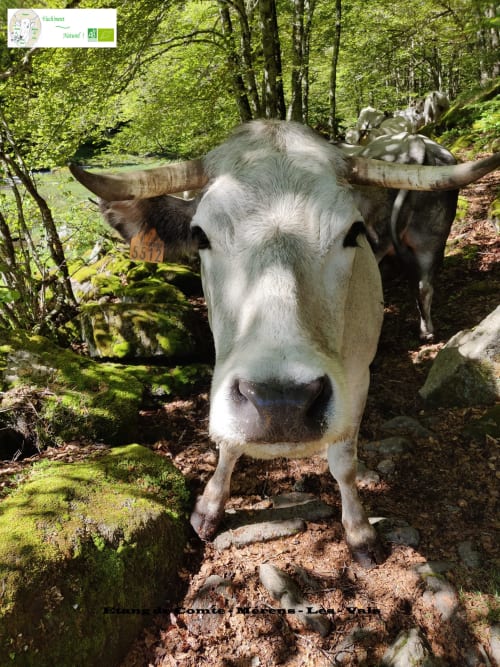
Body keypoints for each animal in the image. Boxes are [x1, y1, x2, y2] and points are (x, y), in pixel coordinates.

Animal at [70, 121, 500, 568]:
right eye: (200, 236)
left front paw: (360, 532)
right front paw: (209, 507)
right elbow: (228, 444)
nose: (281, 403)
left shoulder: (356, 376)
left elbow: (344, 462)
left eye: (353, 232)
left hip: (431, 241)